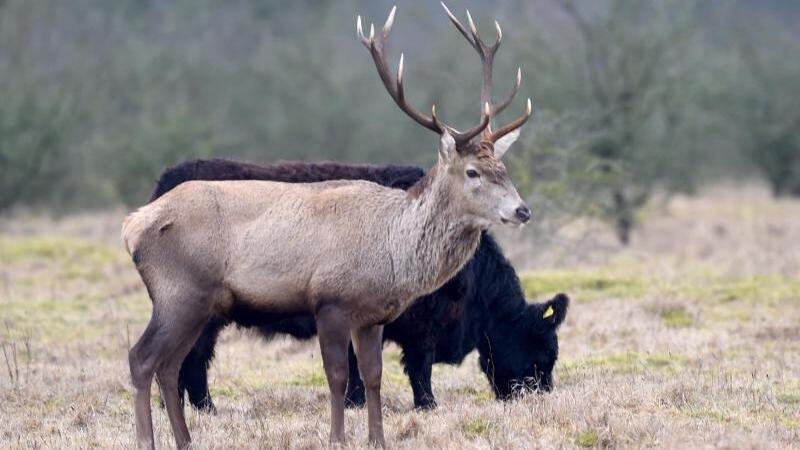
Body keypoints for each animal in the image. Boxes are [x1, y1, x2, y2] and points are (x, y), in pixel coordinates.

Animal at [153, 158, 564, 412]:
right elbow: (419, 368)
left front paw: (354, 402)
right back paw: (206, 409)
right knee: (191, 360)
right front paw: (426, 405)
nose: (543, 396)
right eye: (543, 351)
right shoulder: (419, 328)